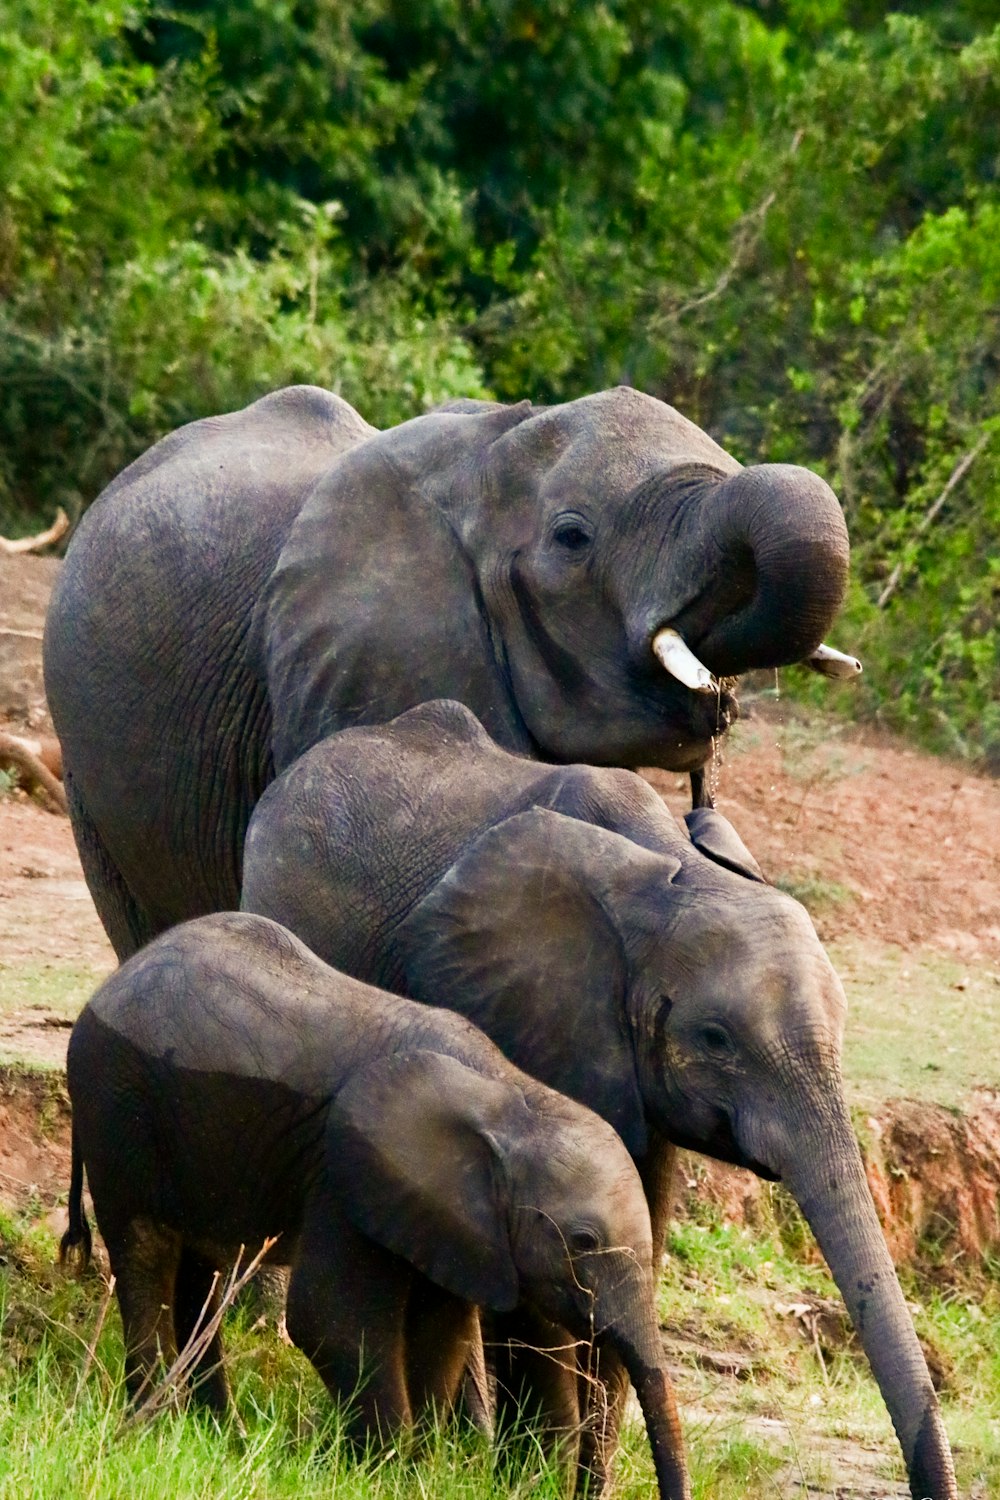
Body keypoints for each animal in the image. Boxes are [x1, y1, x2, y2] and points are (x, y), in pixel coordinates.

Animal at [60, 906, 689, 1500]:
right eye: (582, 1241)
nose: (586, 1487)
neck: (512, 1096)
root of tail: (111, 984)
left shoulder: (449, 1213)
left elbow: (440, 1331)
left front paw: (420, 1471)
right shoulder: (343, 1174)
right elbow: (328, 1317)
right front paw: (380, 1472)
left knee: (200, 1269)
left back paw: (216, 1435)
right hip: (116, 1104)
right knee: (147, 1252)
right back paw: (154, 1425)